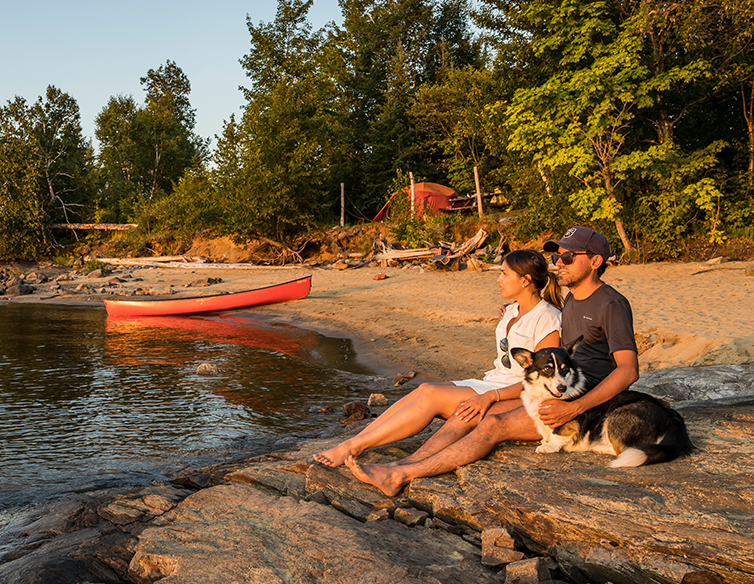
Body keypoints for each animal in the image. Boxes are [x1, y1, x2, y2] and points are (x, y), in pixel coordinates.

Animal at [512, 340, 692, 468]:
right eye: (547, 369)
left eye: (564, 369)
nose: (562, 388)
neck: (543, 395)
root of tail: (671, 417)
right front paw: (545, 441)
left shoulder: (564, 420)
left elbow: (558, 434)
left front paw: (549, 446)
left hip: (616, 415)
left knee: (624, 450)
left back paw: (600, 448)